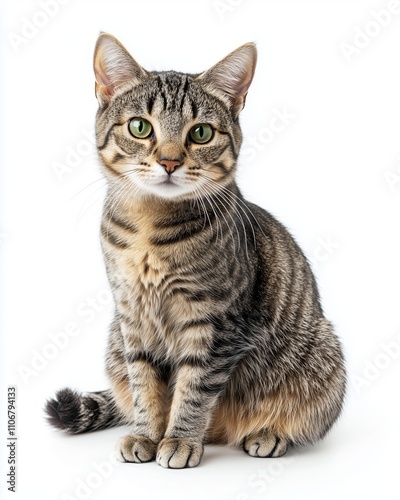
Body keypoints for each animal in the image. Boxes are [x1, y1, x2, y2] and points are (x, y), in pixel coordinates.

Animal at [44, 33, 346, 466]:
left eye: (201, 133)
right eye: (140, 127)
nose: (169, 161)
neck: (149, 230)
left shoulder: (215, 324)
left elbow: (194, 389)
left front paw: (181, 440)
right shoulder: (131, 319)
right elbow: (145, 386)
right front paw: (147, 434)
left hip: (323, 355)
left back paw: (266, 434)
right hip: (114, 343)